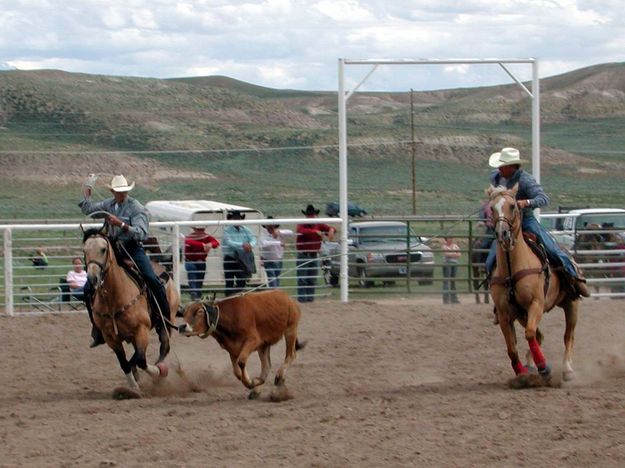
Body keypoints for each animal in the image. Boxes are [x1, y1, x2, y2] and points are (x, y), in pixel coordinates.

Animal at [80, 228, 178, 394]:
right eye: (85, 250)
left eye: (103, 249)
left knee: (164, 346)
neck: (114, 297)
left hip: (167, 321)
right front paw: (134, 387)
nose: (92, 278)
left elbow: (140, 360)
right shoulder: (110, 337)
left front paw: (157, 372)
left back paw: (159, 372)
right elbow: (125, 363)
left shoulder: (142, 330)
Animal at [488, 184, 580, 384]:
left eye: (513, 206)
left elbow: (530, 334)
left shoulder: (536, 304)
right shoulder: (505, 314)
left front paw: (544, 368)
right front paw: (522, 373)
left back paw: (567, 369)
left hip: (571, 304)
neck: (512, 268)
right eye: (491, 208)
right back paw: (530, 366)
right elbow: (512, 348)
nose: (502, 233)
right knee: (540, 336)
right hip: (523, 315)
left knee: (568, 336)